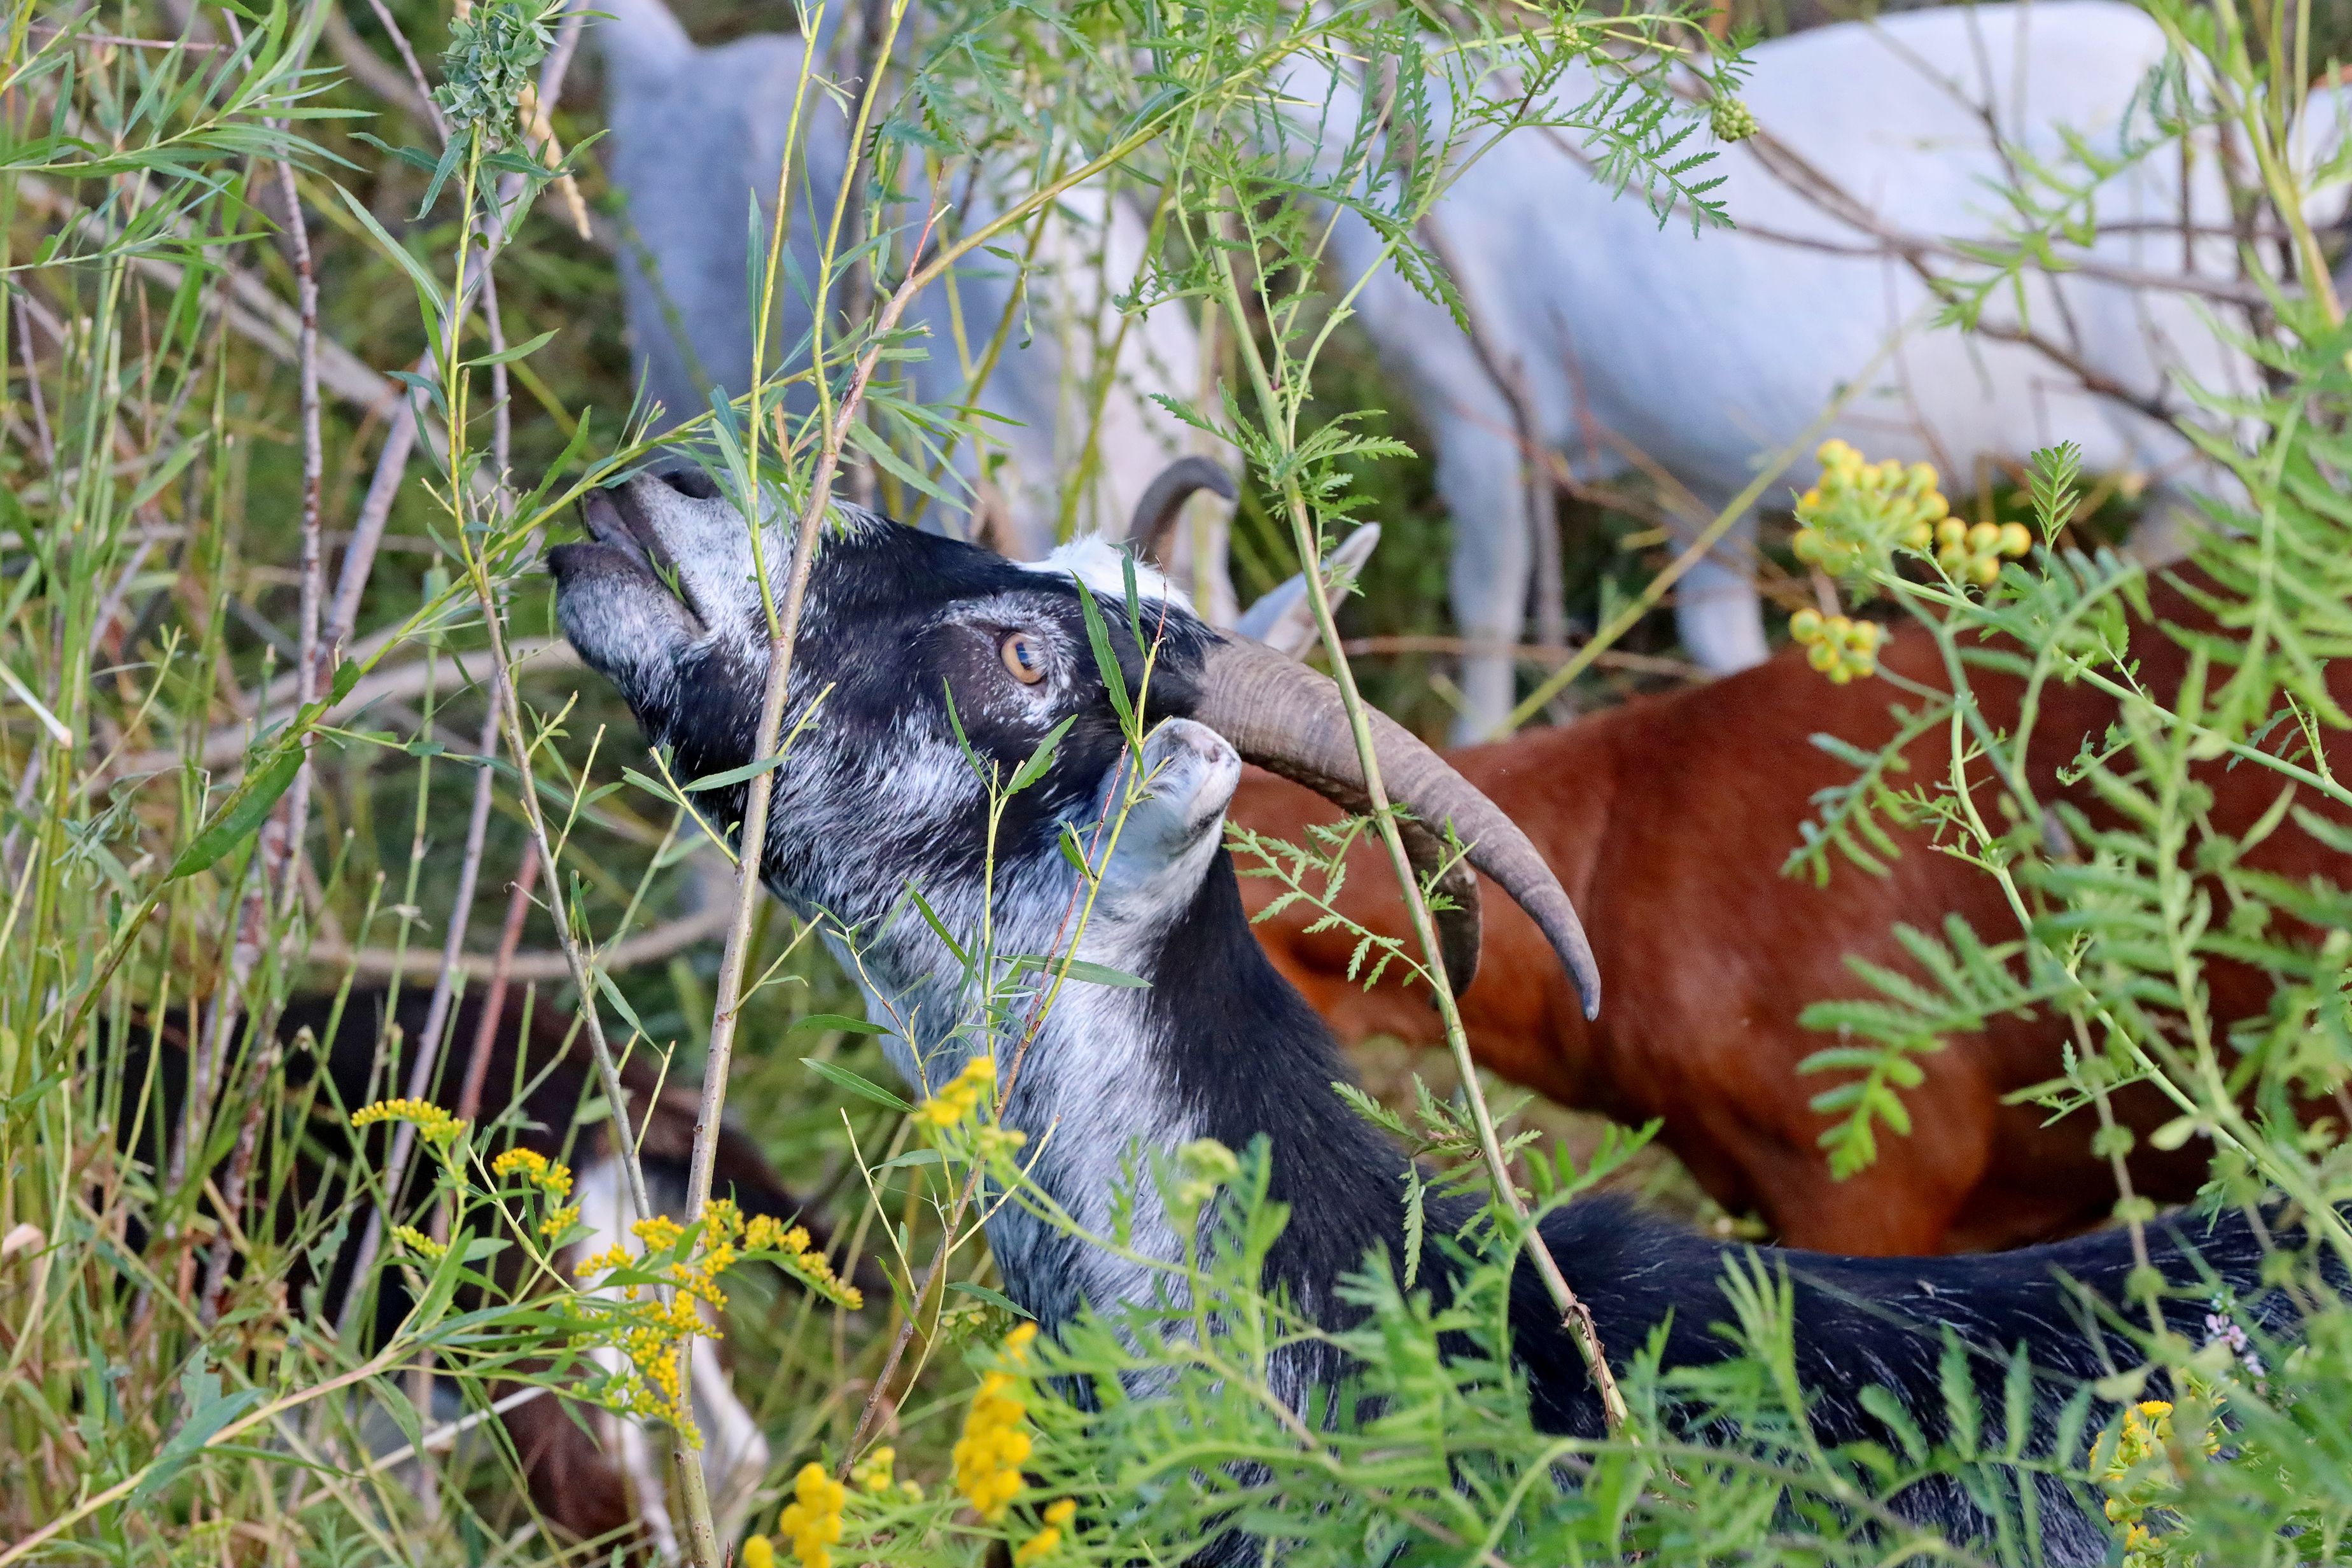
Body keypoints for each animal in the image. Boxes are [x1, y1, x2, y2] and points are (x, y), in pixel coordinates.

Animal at [1304, 0, 2308, 736]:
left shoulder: (1469, 395)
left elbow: (1484, 612)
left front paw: (1474, 749)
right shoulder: (1693, 457)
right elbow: (1716, 629)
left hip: (2196, 385)